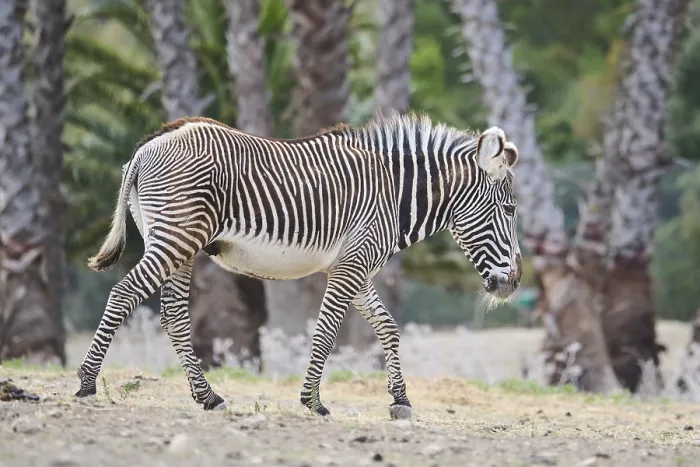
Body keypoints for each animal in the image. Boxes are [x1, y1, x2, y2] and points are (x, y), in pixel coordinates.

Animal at [75, 112, 522, 419]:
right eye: (510, 209)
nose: (513, 284)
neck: (393, 196)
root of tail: (146, 147)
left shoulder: (357, 267)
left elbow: (388, 328)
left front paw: (400, 400)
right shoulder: (350, 267)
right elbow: (325, 333)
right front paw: (313, 401)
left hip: (179, 245)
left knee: (173, 317)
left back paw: (208, 397)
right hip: (177, 236)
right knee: (124, 294)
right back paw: (86, 383)